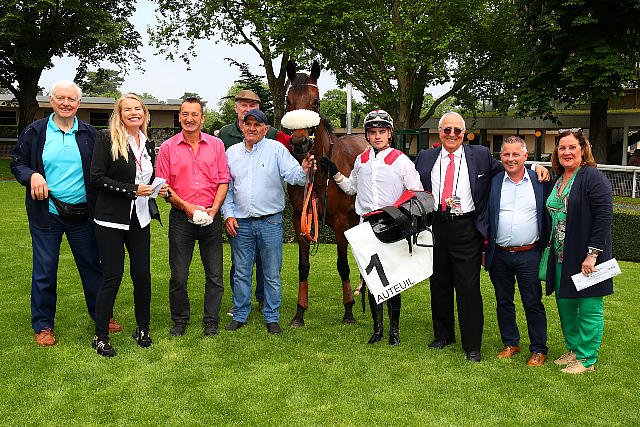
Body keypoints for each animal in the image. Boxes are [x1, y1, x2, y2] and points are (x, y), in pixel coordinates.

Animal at [283, 60, 368, 327]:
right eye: (289, 101)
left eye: (316, 102)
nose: (299, 143)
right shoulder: (299, 219)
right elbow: (303, 265)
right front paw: (299, 313)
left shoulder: (340, 222)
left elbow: (342, 265)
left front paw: (348, 310)